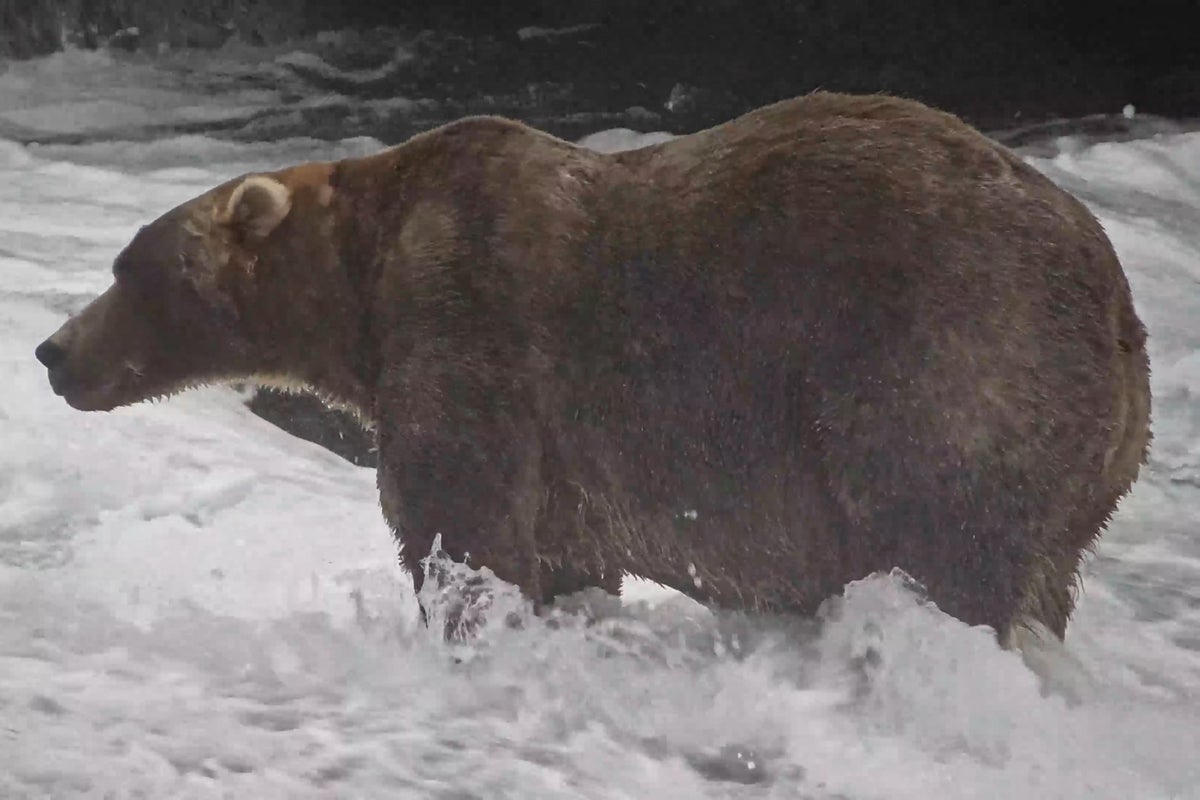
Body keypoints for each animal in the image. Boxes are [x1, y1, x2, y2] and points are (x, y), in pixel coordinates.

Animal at [34, 91, 1151, 646]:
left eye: (128, 267)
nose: (52, 351)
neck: (360, 284)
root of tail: (1120, 305)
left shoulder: (470, 324)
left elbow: (459, 520)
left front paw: (464, 622)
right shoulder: (565, 454)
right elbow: (564, 551)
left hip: (946, 359)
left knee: (944, 534)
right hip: (1084, 465)